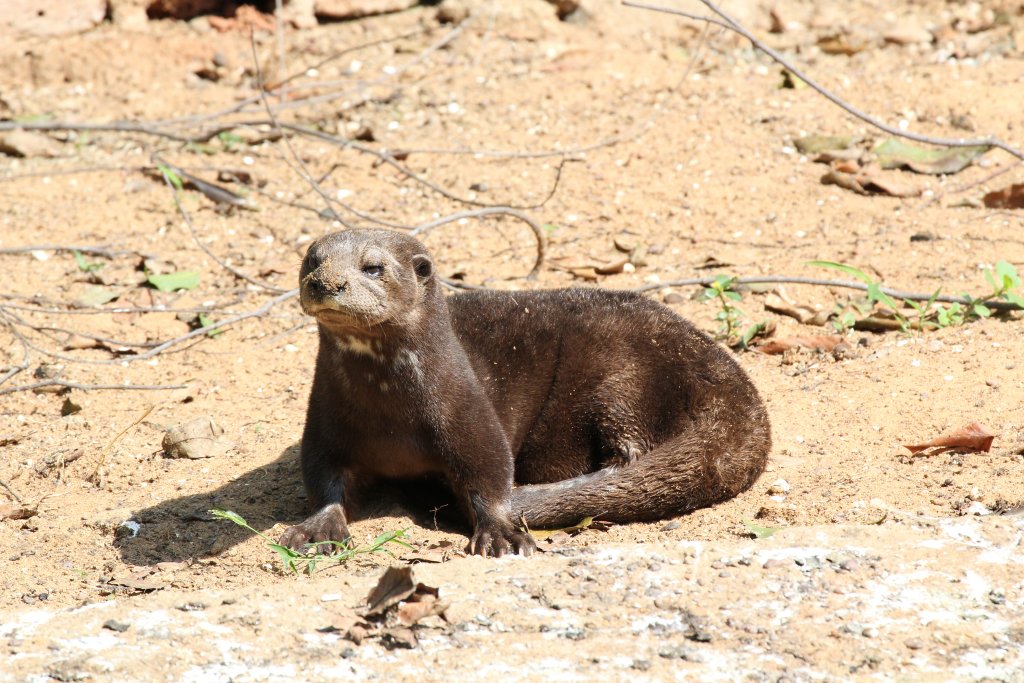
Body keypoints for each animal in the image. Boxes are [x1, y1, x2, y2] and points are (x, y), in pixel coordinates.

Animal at [279, 229, 771, 557]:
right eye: (312, 260)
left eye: (373, 267)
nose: (325, 282)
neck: (388, 417)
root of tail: (732, 379)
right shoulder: (326, 427)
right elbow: (324, 480)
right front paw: (316, 529)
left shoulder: (468, 414)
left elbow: (490, 472)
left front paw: (502, 535)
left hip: (627, 377)